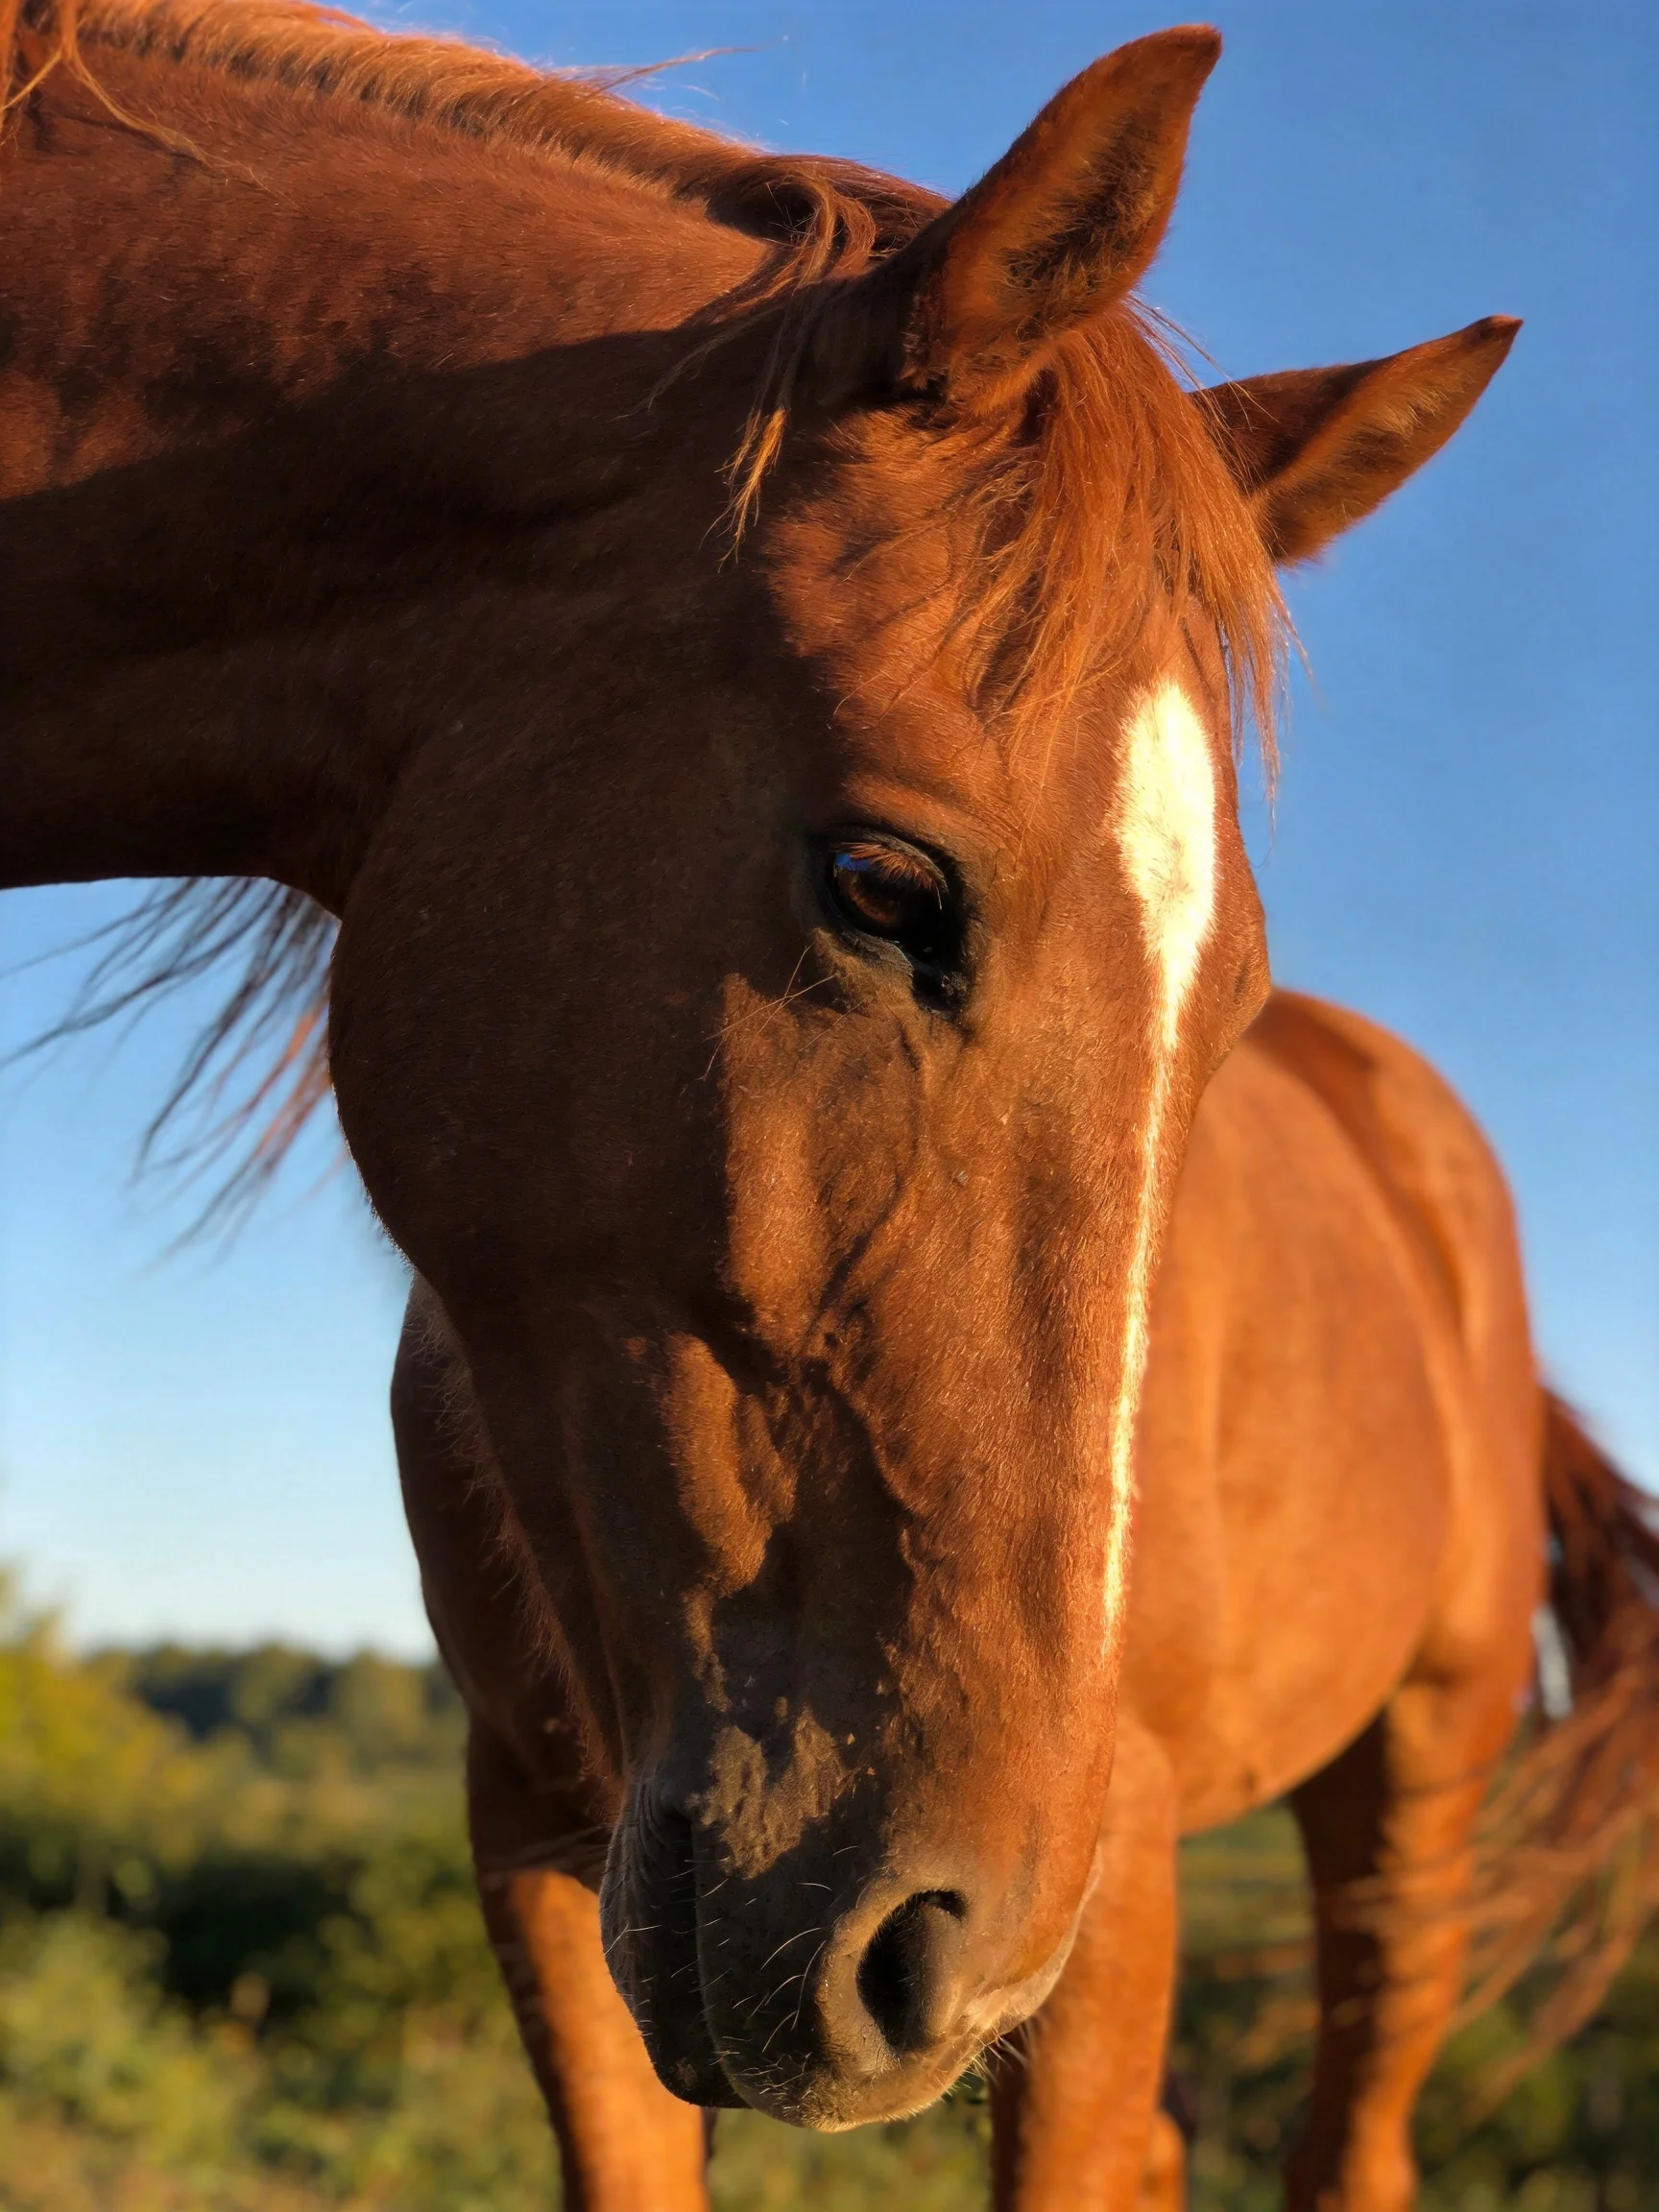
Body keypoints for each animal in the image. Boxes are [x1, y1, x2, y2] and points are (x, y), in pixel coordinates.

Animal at [5, 5, 1655, 2206]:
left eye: (1229, 1002)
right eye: (885, 885)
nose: (934, 1948)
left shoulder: (1111, 1876)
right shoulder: (545, 1829)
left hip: (1409, 1793)